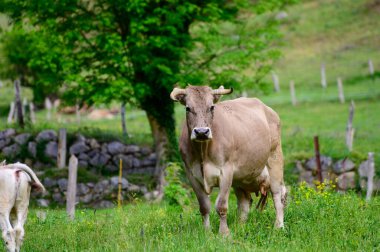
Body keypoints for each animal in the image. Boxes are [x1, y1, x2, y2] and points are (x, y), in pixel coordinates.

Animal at [171, 85, 286, 235]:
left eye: (211, 107)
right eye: (187, 108)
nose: (201, 132)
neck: (203, 152)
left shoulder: (226, 171)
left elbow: (221, 205)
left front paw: (224, 233)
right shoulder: (192, 175)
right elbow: (204, 206)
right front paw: (207, 232)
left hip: (274, 158)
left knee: (278, 194)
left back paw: (279, 226)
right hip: (241, 178)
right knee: (244, 203)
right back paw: (240, 227)